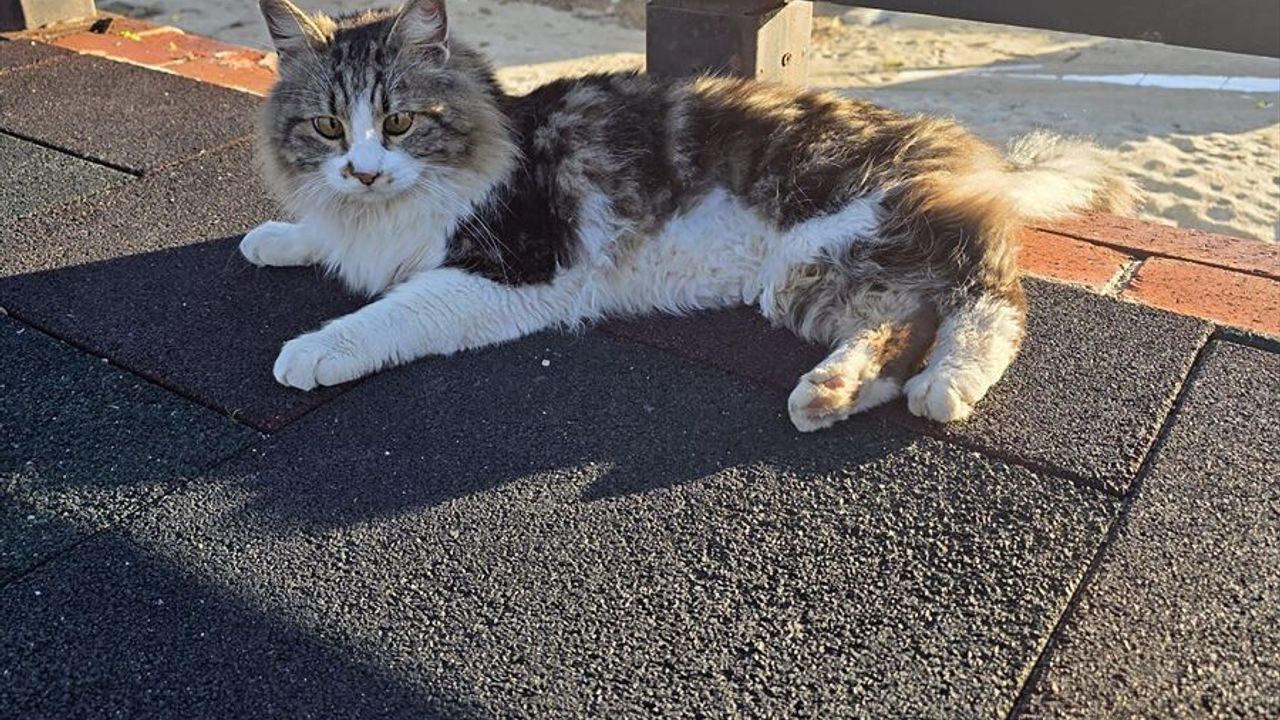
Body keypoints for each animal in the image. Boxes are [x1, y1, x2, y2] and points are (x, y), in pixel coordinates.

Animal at [245, 0, 1134, 431]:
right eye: (329, 126)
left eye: (398, 122)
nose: (363, 169)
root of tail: (965, 148)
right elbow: (323, 236)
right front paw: (278, 237)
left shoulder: (517, 266)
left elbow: (394, 311)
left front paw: (315, 350)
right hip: (819, 276)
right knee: (902, 326)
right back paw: (829, 393)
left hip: (850, 239)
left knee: (990, 300)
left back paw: (946, 387)